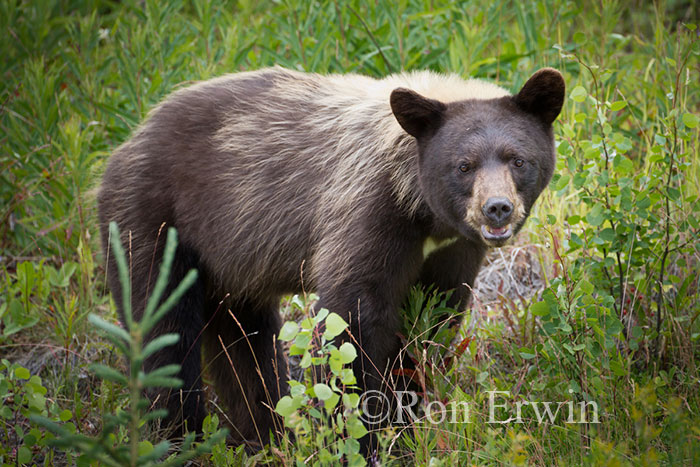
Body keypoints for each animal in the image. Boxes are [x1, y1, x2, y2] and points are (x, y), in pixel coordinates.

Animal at [97, 66, 564, 450]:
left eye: (518, 160)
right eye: (463, 166)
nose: (497, 209)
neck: (422, 211)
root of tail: (125, 144)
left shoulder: (453, 251)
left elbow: (430, 320)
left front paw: (405, 427)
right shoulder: (366, 209)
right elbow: (352, 322)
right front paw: (361, 437)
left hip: (231, 264)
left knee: (245, 343)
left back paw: (265, 437)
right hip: (153, 221)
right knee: (164, 331)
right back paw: (178, 439)